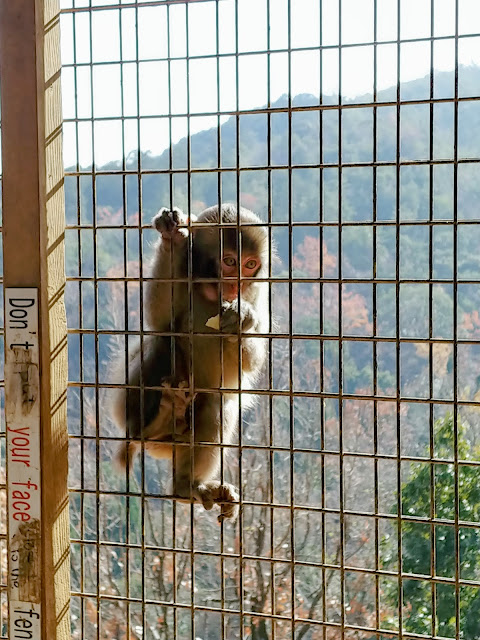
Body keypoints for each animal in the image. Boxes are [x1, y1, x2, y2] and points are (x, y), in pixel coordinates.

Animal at [112, 205, 270, 520]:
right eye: (230, 261)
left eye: (250, 265)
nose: (236, 284)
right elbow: (159, 320)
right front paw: (173, 238)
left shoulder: (257, 294)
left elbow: (249, 363)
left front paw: (240, 321)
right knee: (163, 342)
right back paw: (154, 422)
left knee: (216, 403)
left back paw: (186, 486)